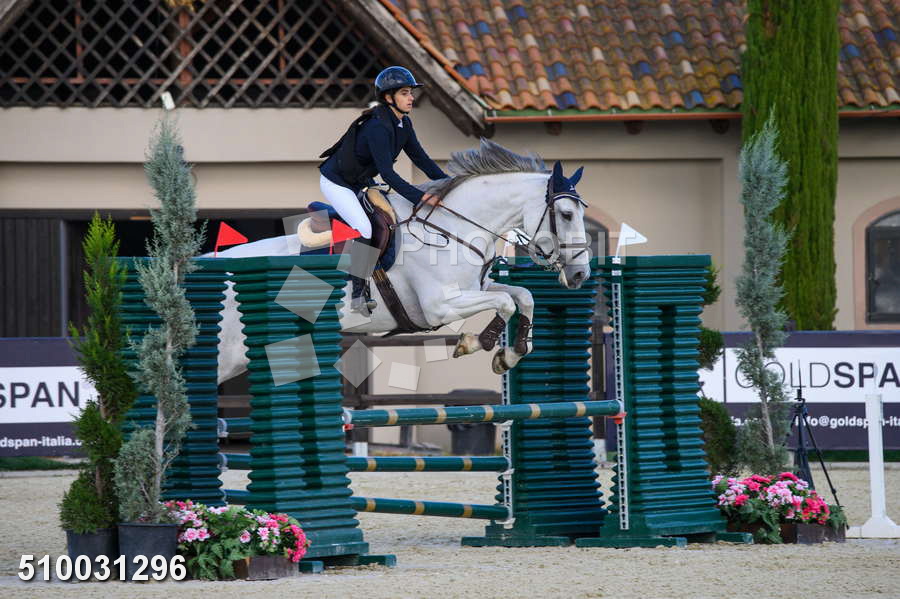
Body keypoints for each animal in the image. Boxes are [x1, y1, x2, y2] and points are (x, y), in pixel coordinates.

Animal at [215, 139, 591, 384]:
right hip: (228, 355)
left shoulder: (475, 288)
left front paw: (509, 355)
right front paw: (474, 344)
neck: (451, 229)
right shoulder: (441, 306)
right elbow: (505, 303)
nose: (580, 274)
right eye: (566, 214)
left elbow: (522, 297)